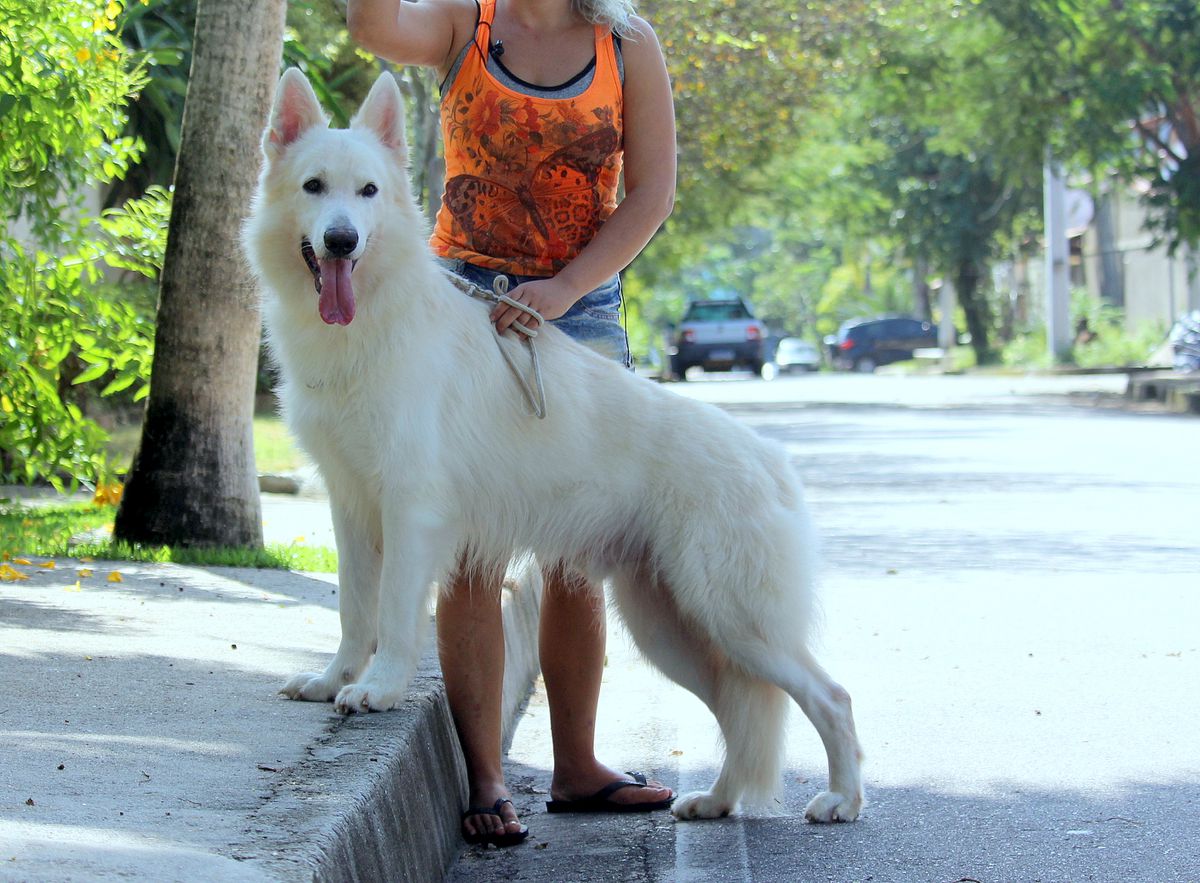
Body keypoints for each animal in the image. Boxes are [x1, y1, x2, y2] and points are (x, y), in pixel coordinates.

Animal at [243, 67, 864, 820]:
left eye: (367, 192)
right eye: (314, 187)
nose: (341, 241)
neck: (375, 319)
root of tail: (774, 462)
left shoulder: (410, 512)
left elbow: (391, 612)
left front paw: (381, 688)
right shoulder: (352, 506)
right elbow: (353, 609)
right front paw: (335, 679)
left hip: (737, 620)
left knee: (830, 697)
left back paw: (842, 800)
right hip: (674, 630)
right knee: (740, 711)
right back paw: (715, 801)